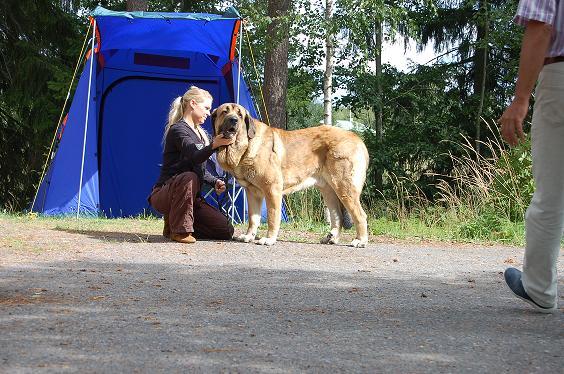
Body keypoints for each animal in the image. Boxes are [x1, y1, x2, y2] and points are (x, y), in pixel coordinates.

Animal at [212, 103, 370, 247]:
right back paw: (331, 238)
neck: (246, 146)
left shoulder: (272, 189)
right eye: (224, 112)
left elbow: (272, 217)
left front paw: (269, 239)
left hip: (344, 187)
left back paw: (360, 241)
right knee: (337, 215)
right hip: (329, 190)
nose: (233, 120)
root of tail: (357, 138)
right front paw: (248, 236)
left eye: (240, 115)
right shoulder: (252, 192)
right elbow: (253, 217)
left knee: (360, 215)